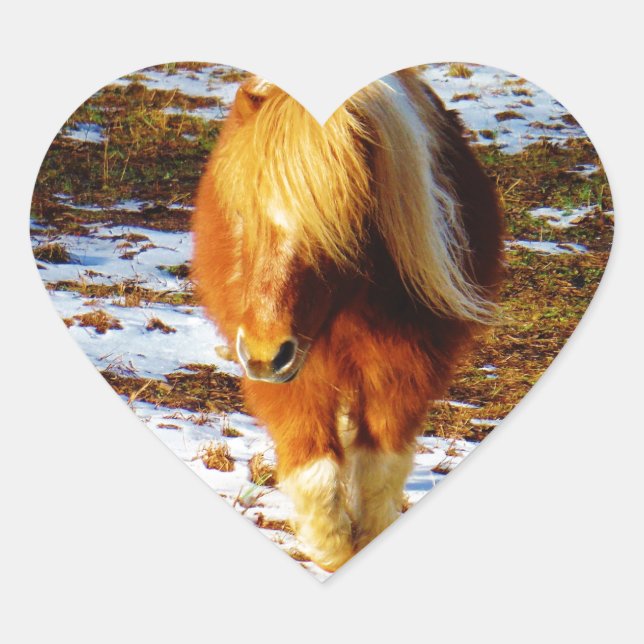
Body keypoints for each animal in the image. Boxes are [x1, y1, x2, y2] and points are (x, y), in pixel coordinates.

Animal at [192, 67, 504, 572]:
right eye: (242, 215)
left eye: (340, 227)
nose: (263, 356)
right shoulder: (292, 376)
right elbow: (314, 468)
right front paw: (333, 550)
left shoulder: (404, 370)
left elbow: (380, 468)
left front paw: (364, 537)